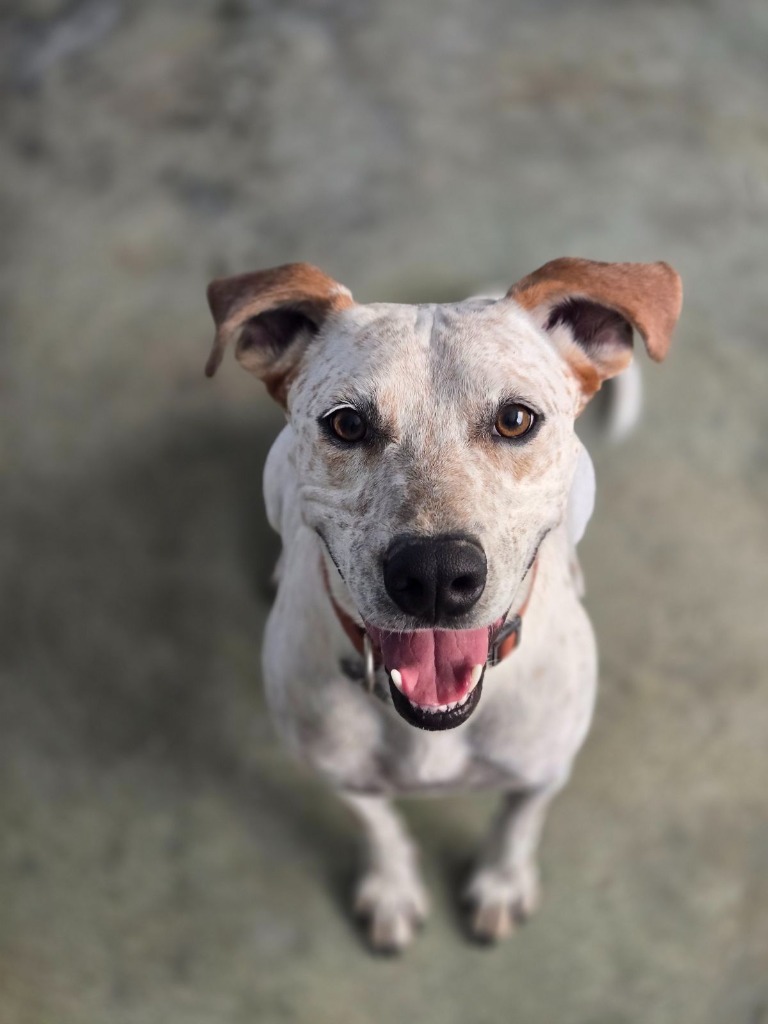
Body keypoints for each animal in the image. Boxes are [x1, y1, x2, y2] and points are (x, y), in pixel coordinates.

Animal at [205, 256, 684, 950]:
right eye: (346, 423)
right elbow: (377, 825)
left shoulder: (544, 772)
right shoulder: (342, 775)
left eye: (516, 420)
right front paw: (392, 888)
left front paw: (501, 884)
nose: (433, 575)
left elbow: (517, 825)